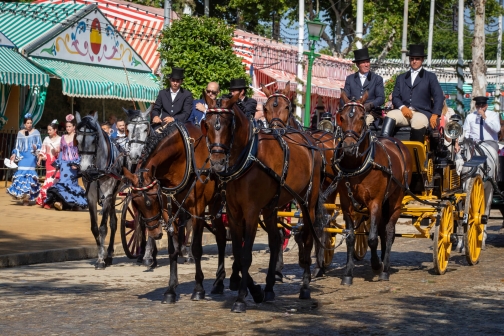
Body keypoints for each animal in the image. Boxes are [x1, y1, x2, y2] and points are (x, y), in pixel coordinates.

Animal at [122, 122, 226, 304]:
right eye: (136, 203)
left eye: (150, 201)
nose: (155, 233)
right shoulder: (168, 211)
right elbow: (173, 250)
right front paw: (170, 289)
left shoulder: (197, 209)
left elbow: (196, 248)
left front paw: (198, 289)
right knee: (220, 236)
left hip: (217, 202)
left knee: (222, 236)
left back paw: (221, 282)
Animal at [202, 92, 326, 312]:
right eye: (206, 124)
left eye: (228, 124)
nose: (216, 163)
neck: (247, 158)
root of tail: (310, 140)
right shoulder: (233, 213)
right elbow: (237, 251)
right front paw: (255, 290)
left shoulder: (251, 212)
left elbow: (245, 255)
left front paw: (241, 299)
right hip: (271, 207)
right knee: (276, 241)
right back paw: (269, 288)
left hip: (307, 202)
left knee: (307, 237)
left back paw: (304, 286)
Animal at [336, 91, 412, 284]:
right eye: (341, 117)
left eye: (362, 117)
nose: (349, 147)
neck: (358, 164)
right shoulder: (346, 203)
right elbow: (350, 237)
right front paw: (348, 273)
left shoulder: (375, 202)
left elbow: (371, 238)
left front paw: (377, 265)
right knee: (383, 231)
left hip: (395, 199)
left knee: (389, 230)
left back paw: (385, 269)